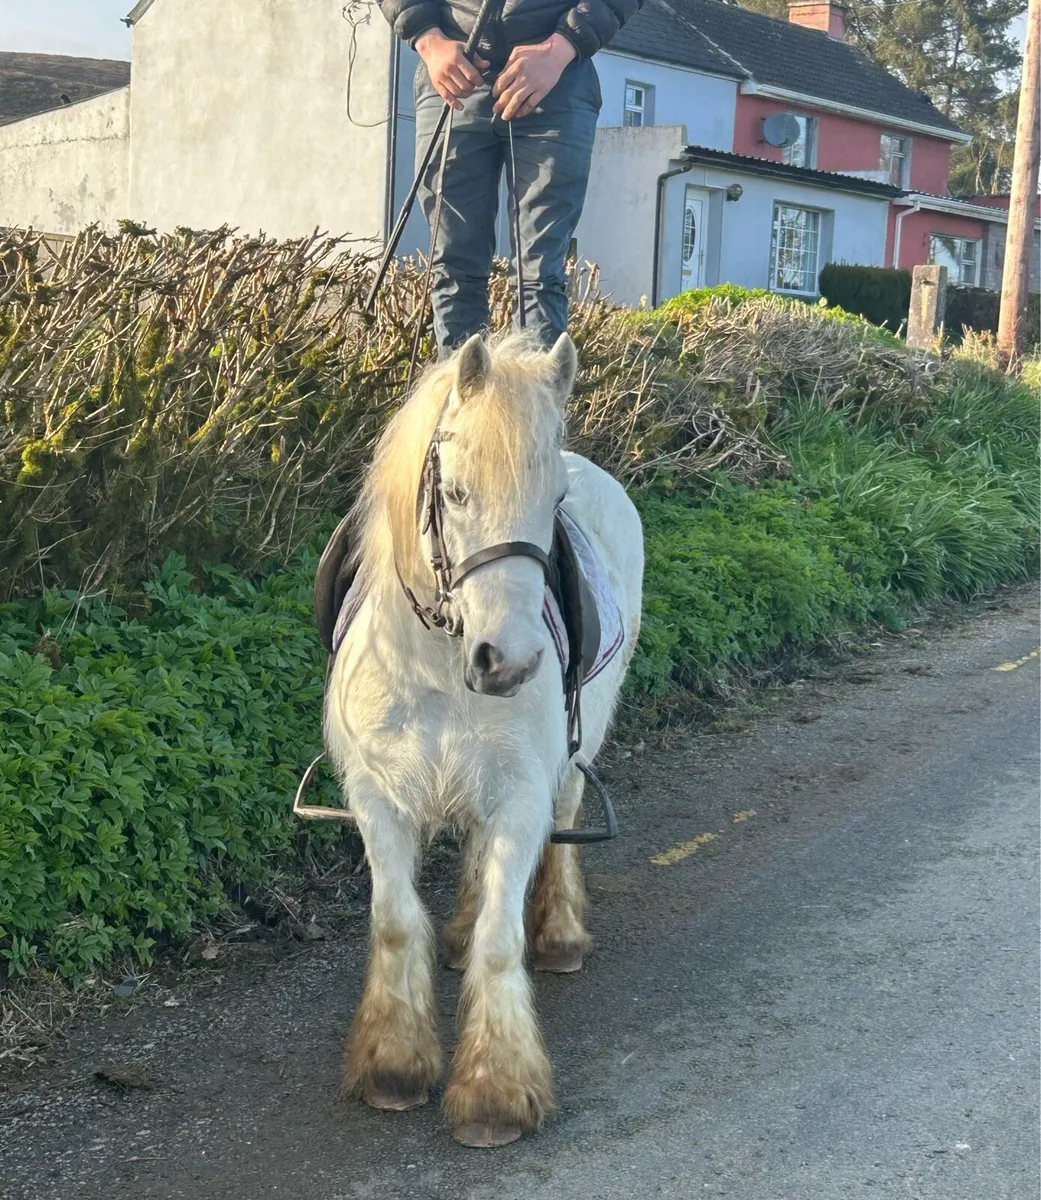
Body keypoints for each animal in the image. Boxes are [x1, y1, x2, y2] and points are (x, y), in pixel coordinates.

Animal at [324, 331, 643, 1148]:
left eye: (552, 504)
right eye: (457, 493)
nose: (511, 662)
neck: (437, 662)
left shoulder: (520, 796)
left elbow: (504, 938)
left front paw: (494, 1088)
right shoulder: (378, 797)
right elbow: (396, 921)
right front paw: (393, 1065)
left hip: (575, 750)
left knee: (564, 819)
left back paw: (558, 934)